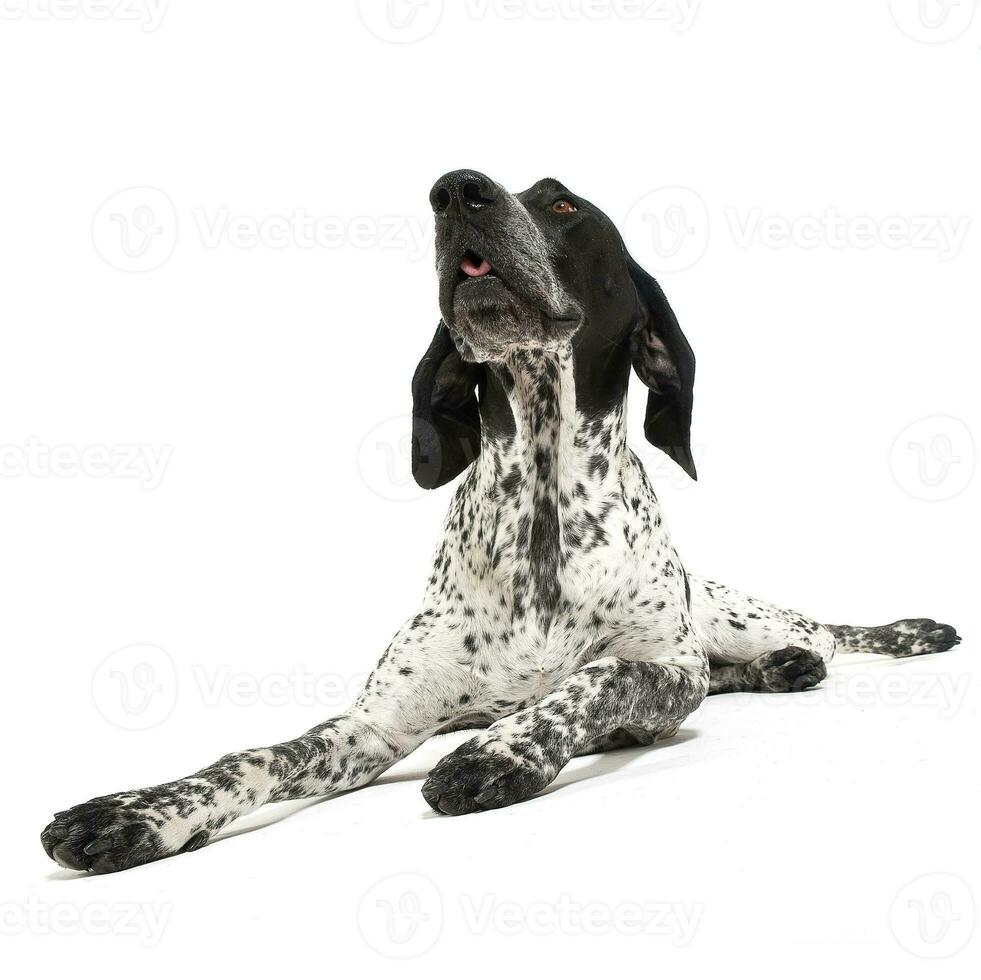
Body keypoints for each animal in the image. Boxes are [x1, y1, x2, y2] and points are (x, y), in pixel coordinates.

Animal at [42, 170, 960, 872]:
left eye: (561, 204)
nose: (455, 191)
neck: (540, 520)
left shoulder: (664, 669)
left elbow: (596, 679)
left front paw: (501, 752)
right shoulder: (373, 726)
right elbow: (254, 756)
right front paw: (136, 811)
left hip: (737, 617)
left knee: (827, 631)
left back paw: (878, 638)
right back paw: (781, 670)